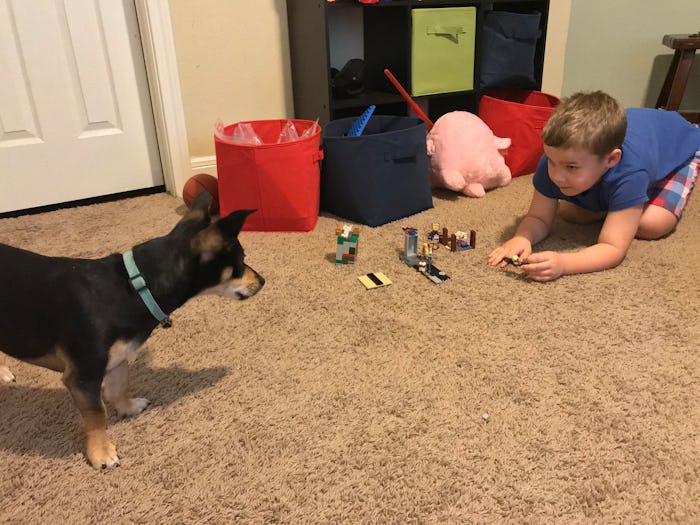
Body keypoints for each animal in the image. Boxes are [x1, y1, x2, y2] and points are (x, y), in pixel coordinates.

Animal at [0, 192, 262, 466]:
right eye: (241, 261)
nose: (263, 281)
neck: (136, 288)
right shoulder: (83, 376)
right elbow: (97, 415)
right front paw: (100, 453)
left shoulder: (118, 358)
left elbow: (118, 389)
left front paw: (128, 409)